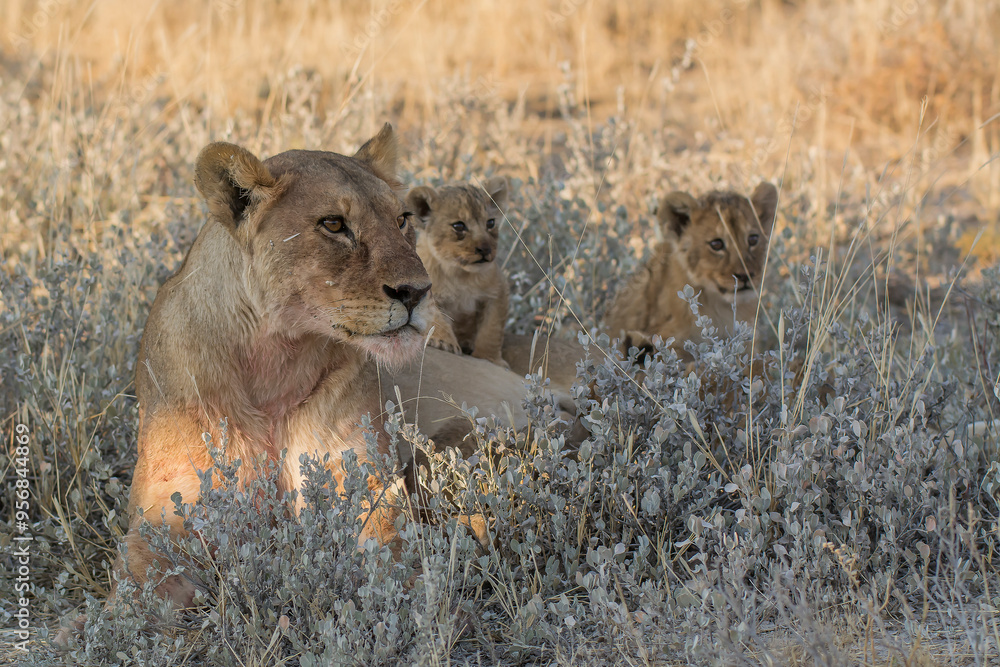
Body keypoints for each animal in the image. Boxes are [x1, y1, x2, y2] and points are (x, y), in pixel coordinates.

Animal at [116, 124, 436, 610]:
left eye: (402, 220)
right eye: (334, 224)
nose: (416, 292)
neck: (277, 354)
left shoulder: (365, 484)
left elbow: (393, 557)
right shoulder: (162, 514)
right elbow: (141, 590)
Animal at [406, 177, 510, 367]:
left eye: (490, 223)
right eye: (459, 226)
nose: (485, 249)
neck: (461, 274)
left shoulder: (498, 291)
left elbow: (491, 329)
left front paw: (489, 358)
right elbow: (435, 316)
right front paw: (444, 342)